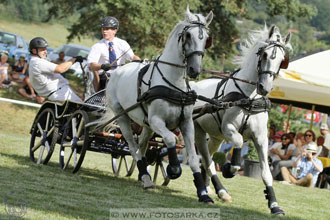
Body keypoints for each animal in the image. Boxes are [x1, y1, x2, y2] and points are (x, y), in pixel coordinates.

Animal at [100, 6, 214, 203]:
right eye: (188, 35)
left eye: (206, 38)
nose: (195, 70)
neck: (174, 83)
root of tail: (116, 71)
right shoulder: (156, 121)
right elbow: (170, 139)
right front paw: (174, 169)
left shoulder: (186, 123)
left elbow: (193, 158)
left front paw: (203, 192)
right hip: (123, 117)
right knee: (133, 146)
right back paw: (146, 178)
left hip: (145, 124)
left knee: (142, 145)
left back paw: (143, 175)